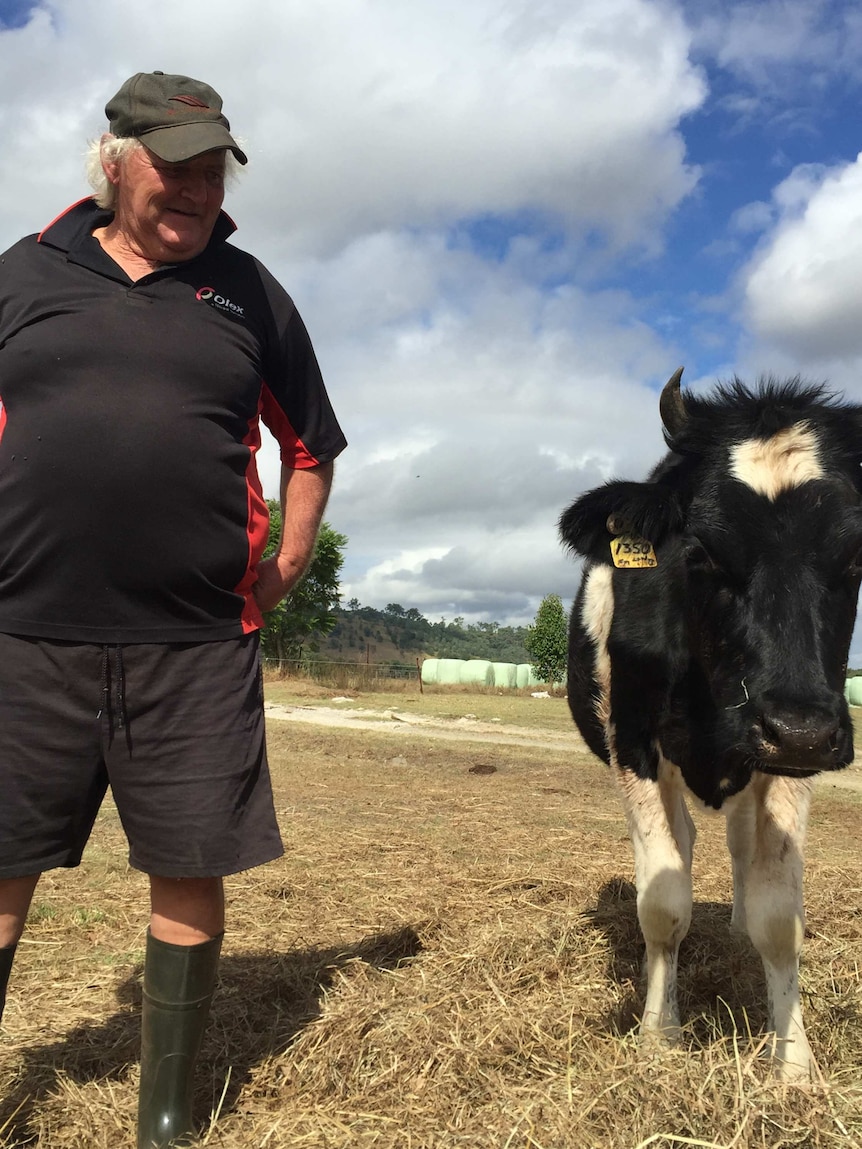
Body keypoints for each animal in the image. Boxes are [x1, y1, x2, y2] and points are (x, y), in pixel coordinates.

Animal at [560, 369, 862, 1075]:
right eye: (700, 552)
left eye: (858, 556)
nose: (798, 727)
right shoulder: (634, 740)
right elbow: (663, 900)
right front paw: (658, 1032)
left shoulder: (791, 761)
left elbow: (779, 917)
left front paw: (793, 1064)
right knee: (685, 845)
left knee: (738, 848)